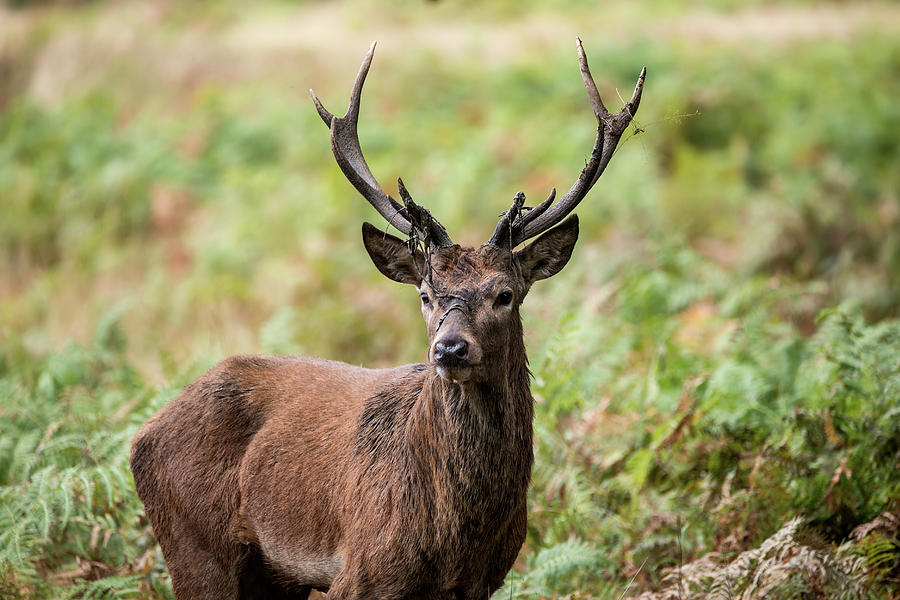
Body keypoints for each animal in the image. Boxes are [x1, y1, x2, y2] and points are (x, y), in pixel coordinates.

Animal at [130, 39, 644, 596]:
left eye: (505, 294)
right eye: (425, 294)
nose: (449, 348)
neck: (453, 540)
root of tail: (141, 434)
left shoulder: (484, 580)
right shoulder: (360, 573)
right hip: (197, 549)